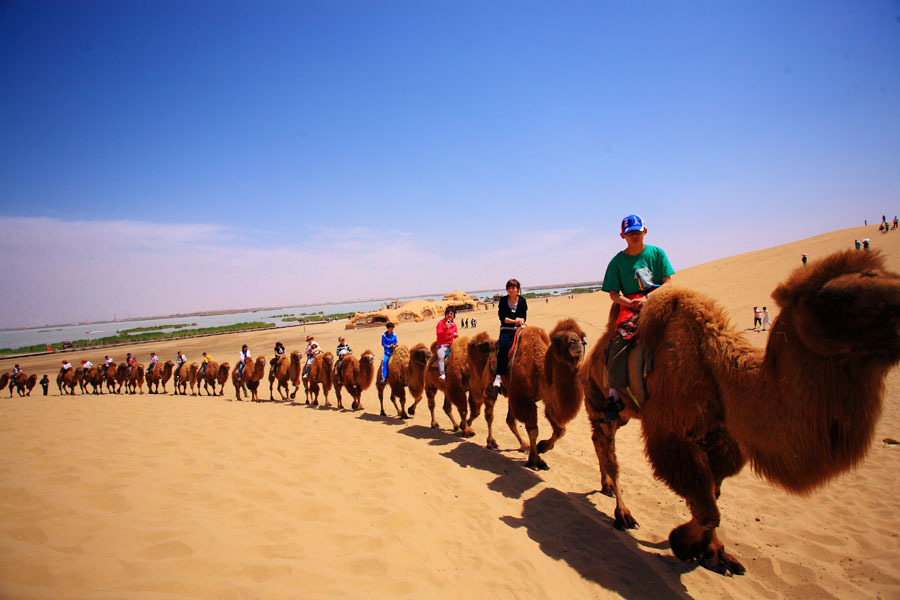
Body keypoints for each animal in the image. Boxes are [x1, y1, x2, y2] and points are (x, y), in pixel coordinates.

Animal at [488, 318, 588, 474]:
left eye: (582, 336)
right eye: (557, 339)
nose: (575, 343)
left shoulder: (547, 398)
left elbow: (561, 430)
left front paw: (543, 446)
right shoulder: (525, 399)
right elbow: (533, 430)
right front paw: (535, 461)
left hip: (511, 393)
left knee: (510, 420)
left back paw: (524, 445)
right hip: (493, 384)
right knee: (490, 413)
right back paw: (491, 442)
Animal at [580, 250, 900, 576]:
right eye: (833, 298)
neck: (714, 364)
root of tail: (589, 359)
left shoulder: (719, 435)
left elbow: (714, 491)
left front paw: (713, 553)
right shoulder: (672, 434)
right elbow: (708, 507)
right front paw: (684, 543)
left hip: (623, 414)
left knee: (599, 443)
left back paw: (606, 488)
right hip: (600, 402)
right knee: (610, 452)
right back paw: (623, 514)